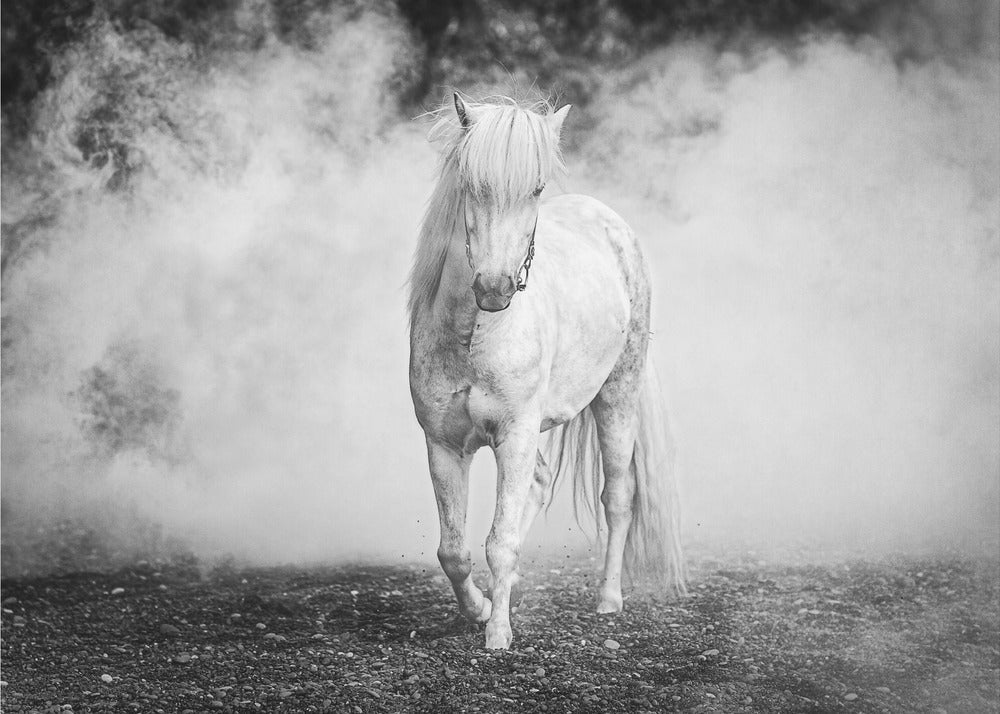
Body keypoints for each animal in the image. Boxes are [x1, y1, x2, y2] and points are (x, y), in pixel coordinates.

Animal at [408, 93, 686, 649]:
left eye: (535, 188)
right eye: (471, 184)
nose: (494, 289)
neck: (475, 335)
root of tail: (611, 223)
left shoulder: (514, 434)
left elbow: (500, 541)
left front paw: (497, 635)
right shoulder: (443, 444)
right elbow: (454, 550)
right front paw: (479, 610)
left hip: (617, 398)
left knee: (617, 496)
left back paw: (608, 599)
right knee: (537, 485)